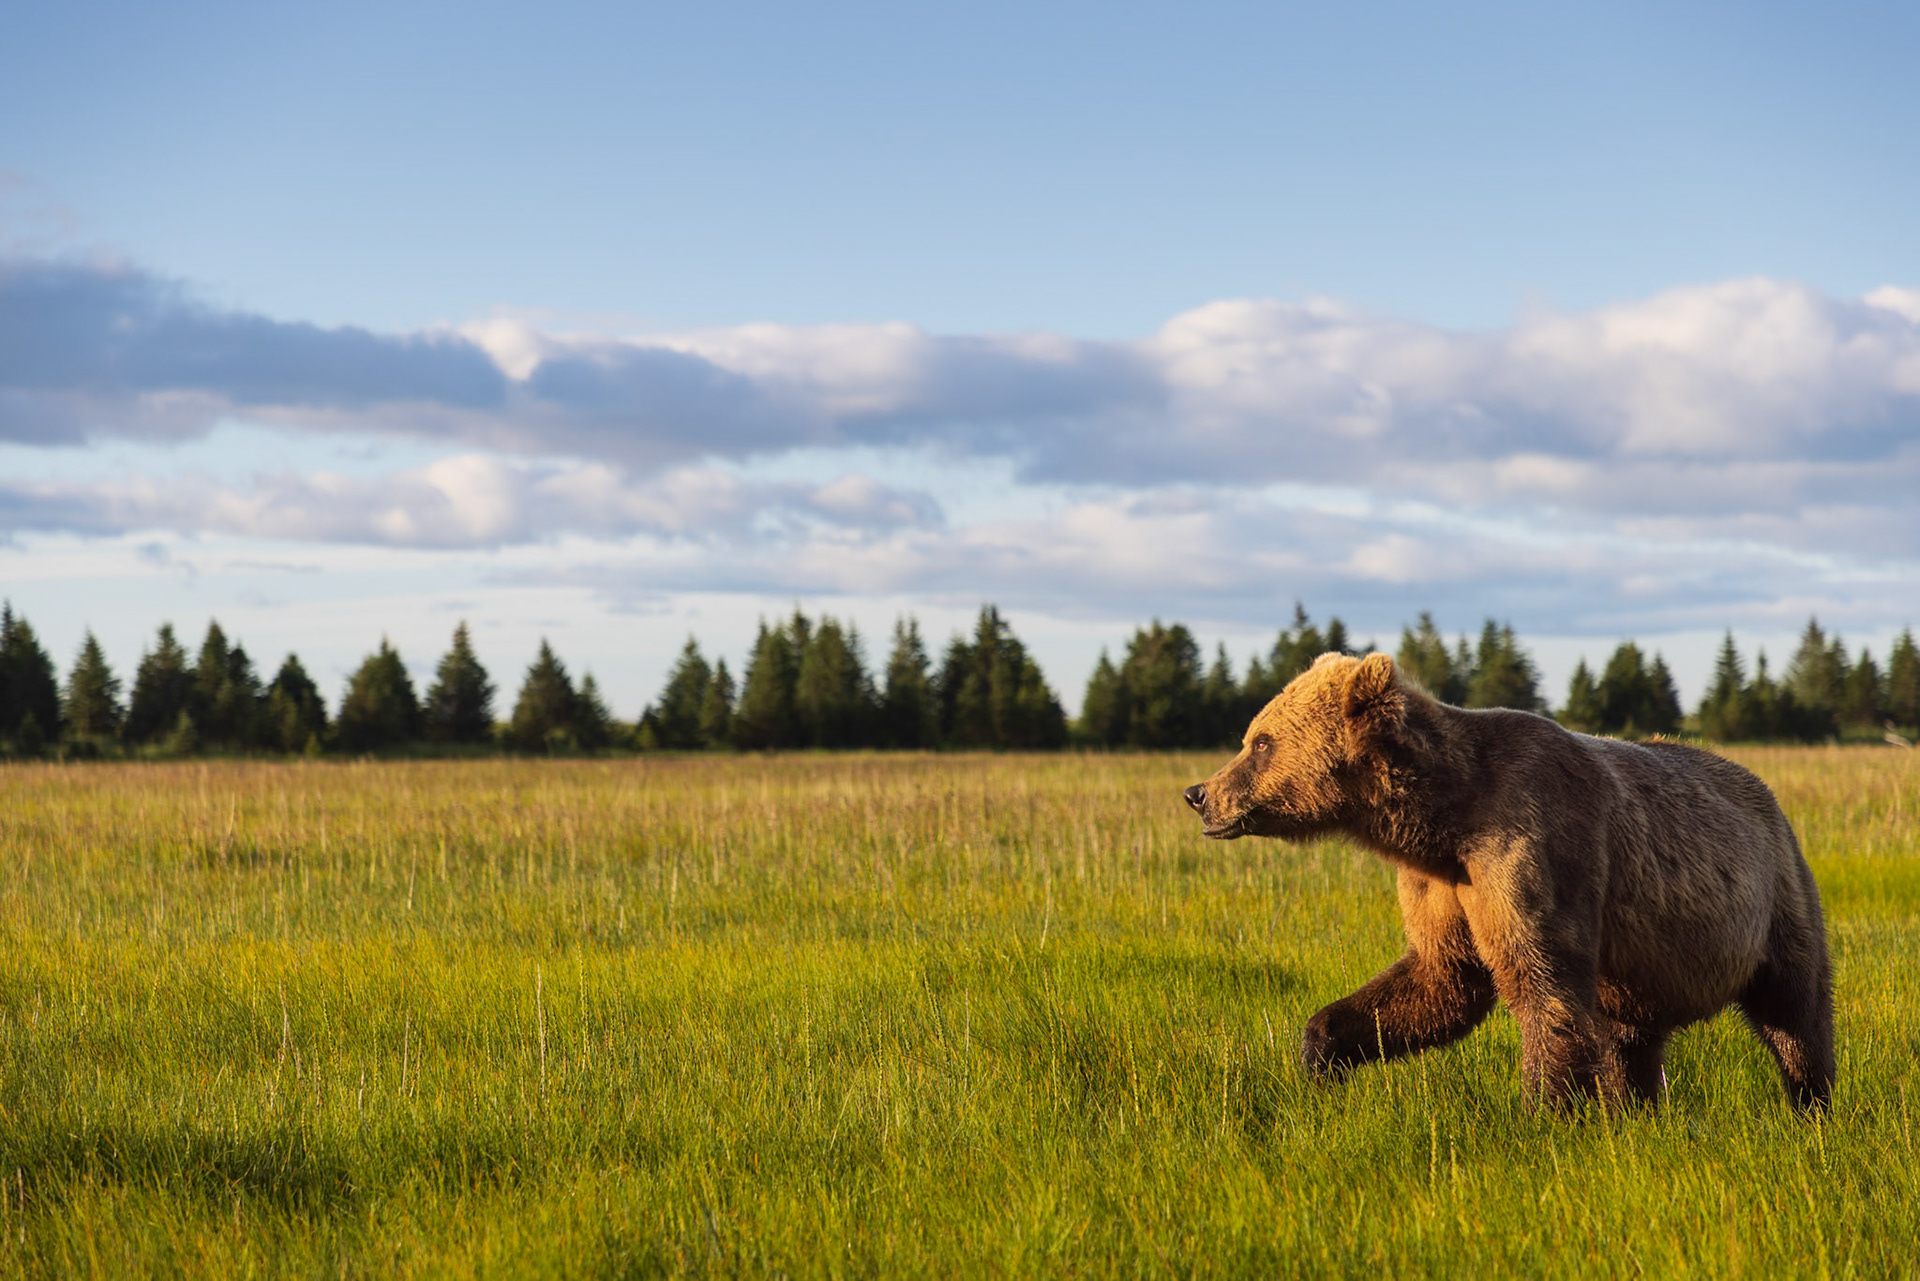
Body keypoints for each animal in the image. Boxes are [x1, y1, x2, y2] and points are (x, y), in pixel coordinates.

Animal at [1182, 651, 1833, 1112]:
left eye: (1260, 742)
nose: (1199, 794)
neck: (1443, 818)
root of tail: (1764, 789)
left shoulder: (1531, 844)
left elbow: (1544, 983)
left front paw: (1540, 1116)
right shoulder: (1444, 883)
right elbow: (1442, 976)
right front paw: (1319, 1054)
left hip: (1777, 895)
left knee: (1795, 1011)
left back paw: (1811, 1104)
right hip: (1643, 971)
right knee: (1632, 1041)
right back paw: (1638, 1109)